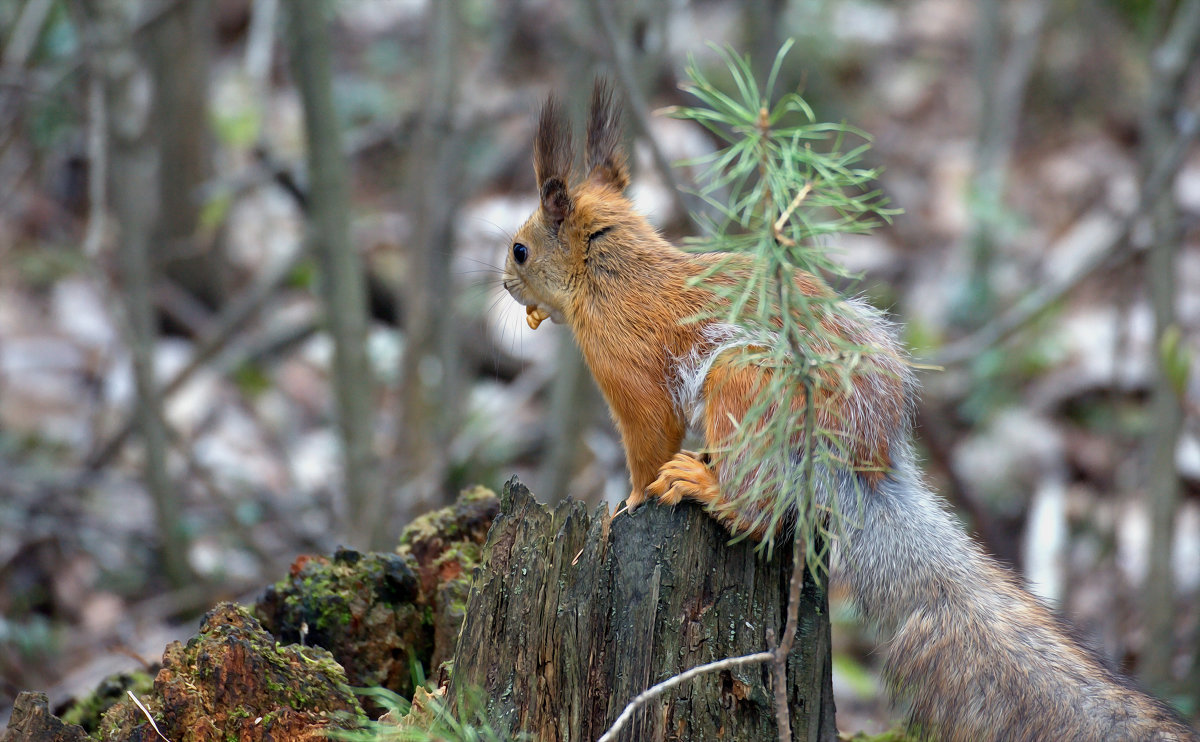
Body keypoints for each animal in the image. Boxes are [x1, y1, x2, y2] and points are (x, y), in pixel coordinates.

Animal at [501, 79, 1195, 739]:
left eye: (518, 250)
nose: (505, 286)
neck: (610, 270)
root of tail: (864, 461)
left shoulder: (630, 373)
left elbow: (647, 442)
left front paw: (631, 503)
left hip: (745, 385)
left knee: (761, 511)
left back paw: (708, 486)